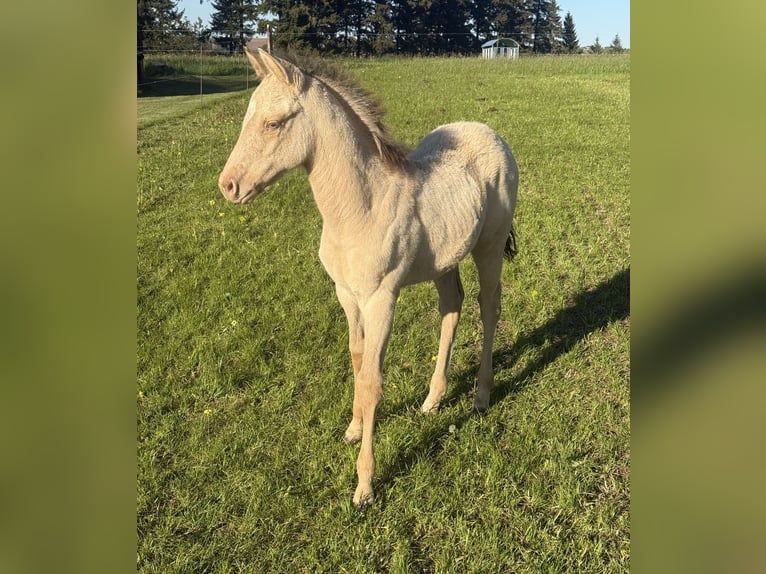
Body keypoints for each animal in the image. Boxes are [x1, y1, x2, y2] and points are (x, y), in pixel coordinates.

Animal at [218, 48, 519, 508]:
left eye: (273, 122)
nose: (228, 185)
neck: (361, 208)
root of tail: (491, 133)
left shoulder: (381, 299)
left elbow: (374, 380)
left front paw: (364, 485)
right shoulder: (347, 295)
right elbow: (357, 361)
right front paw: (353, 428)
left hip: (489, 248)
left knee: (489, 308)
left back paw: (481, 396)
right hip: (445, 260)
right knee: (452, 306)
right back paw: (432, 400)